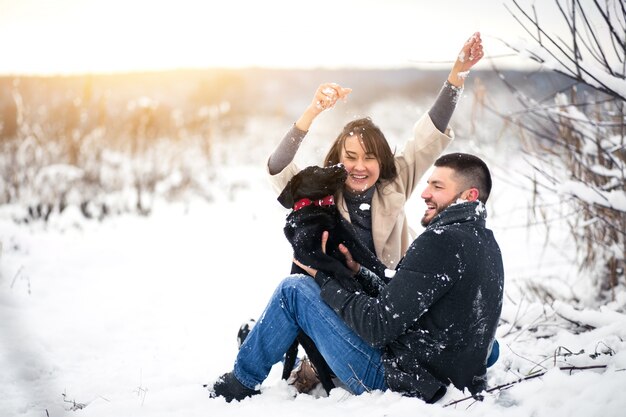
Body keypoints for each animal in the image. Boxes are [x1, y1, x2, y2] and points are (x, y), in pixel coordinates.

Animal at [276, 163, 386, 394]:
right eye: (315, 170)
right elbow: (333, 263)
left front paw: (391, 275)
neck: (318, 208)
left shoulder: (350, 241)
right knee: (323, 375)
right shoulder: (307, 252)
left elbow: (374, 263)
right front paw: (349, 280)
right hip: (310, 344)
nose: (341, 165)